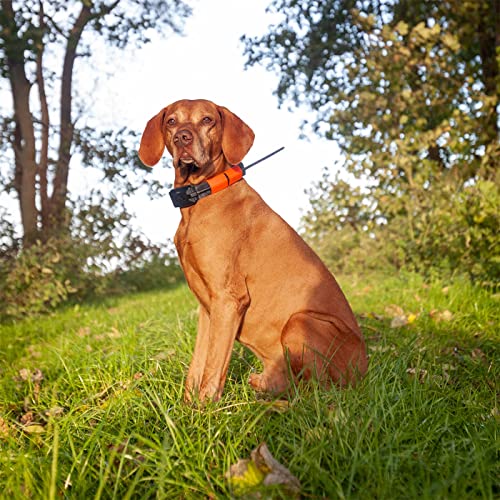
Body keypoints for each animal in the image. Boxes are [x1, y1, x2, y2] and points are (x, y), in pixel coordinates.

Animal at [139, 99, 366, 400]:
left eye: (207, 119)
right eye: (171, 121)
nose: (182, 138)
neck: (201, 198)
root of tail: (366, 371)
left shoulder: (228, 299)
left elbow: (213, 369)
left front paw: (205, 409)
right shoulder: (207, 308)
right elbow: (196, 367)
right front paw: (185, 408)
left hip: (301, 322)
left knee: (318, 392)